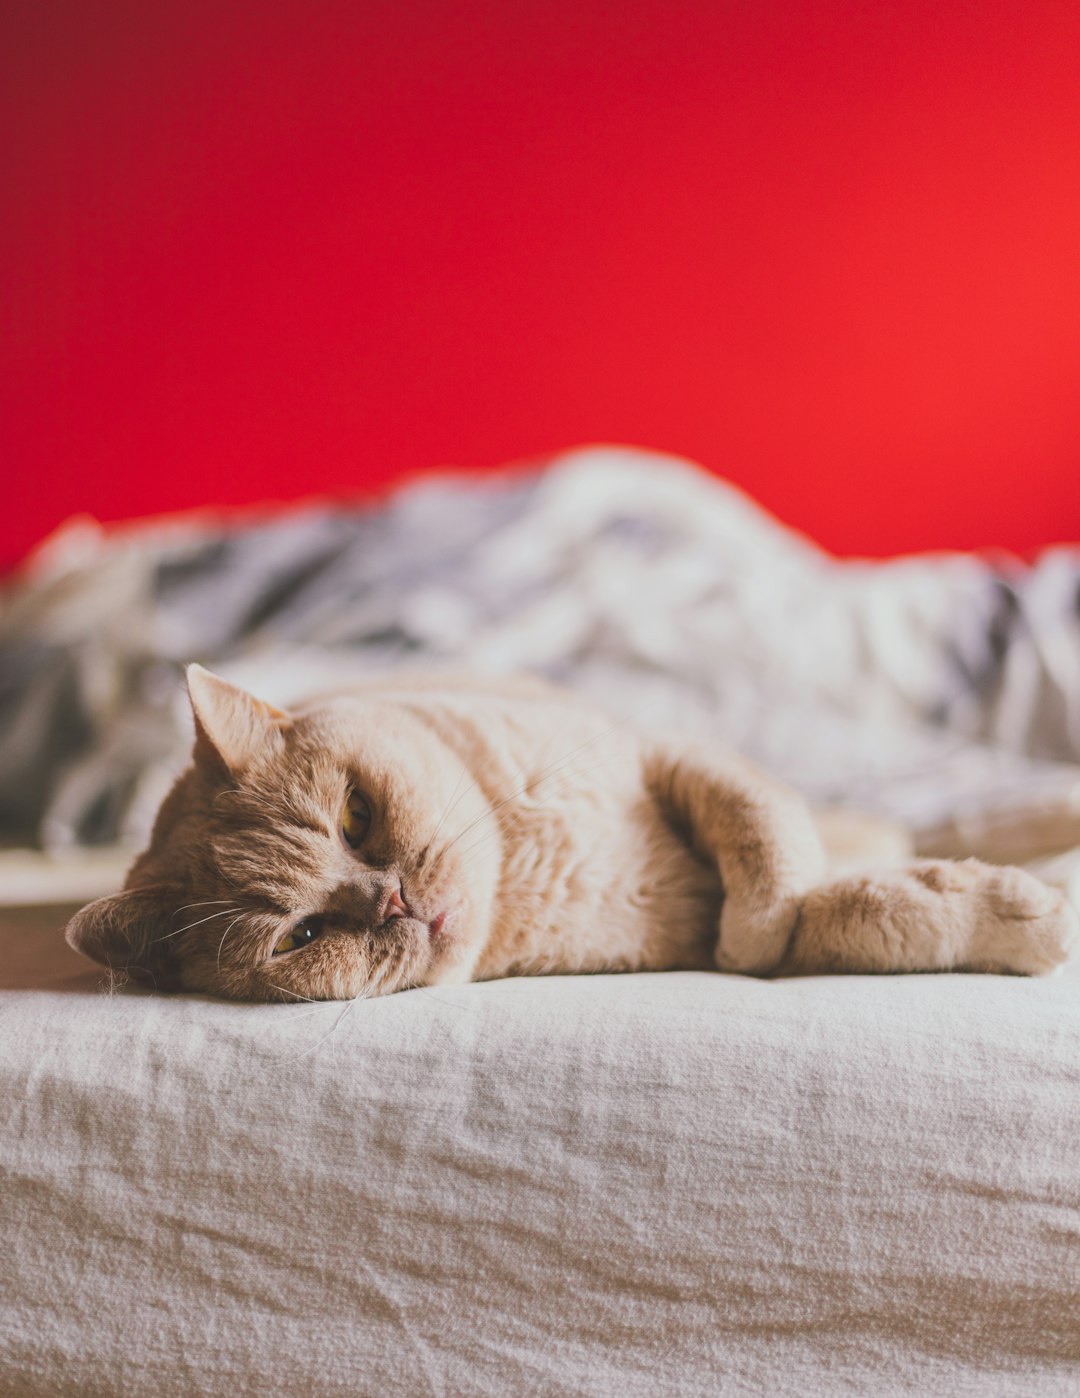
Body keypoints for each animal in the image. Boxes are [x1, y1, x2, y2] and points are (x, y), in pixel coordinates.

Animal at [65, 662, 1078, 1000]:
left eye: (356, 817)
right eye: (303, 936)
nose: (392, 902)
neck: (531, 868)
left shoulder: (669, 756)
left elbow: (767, 840)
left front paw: (759, 916)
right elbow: (851, 916)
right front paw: (1024, 914)